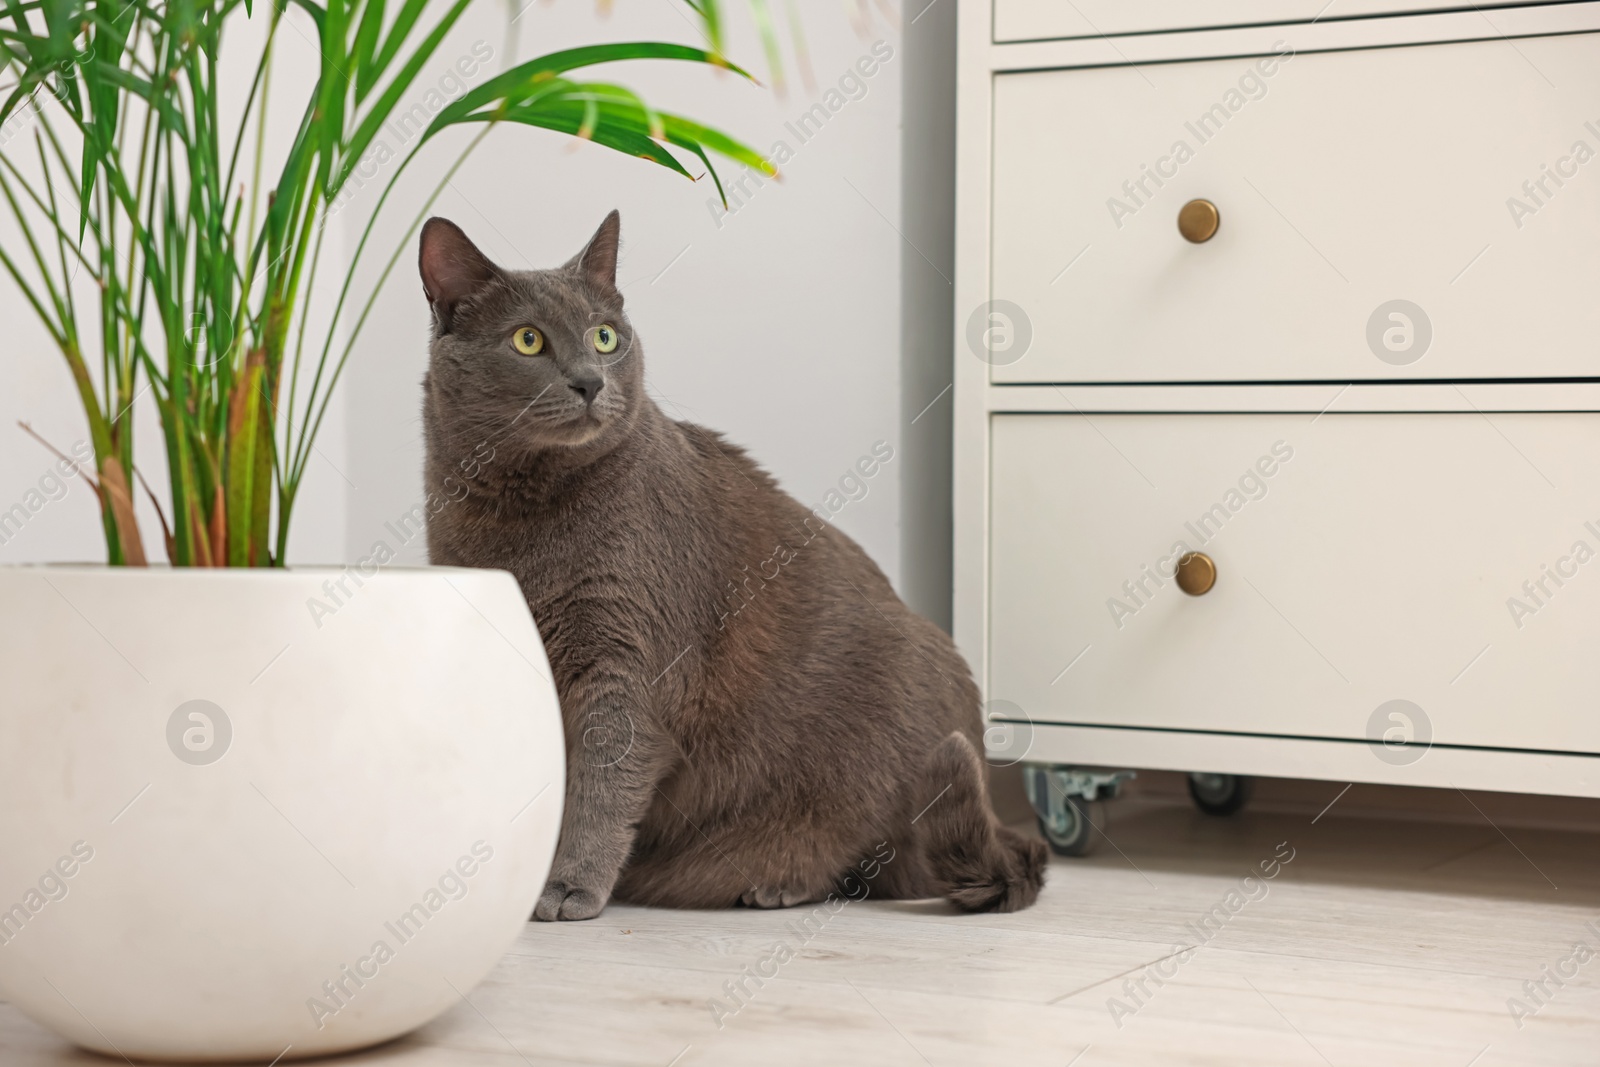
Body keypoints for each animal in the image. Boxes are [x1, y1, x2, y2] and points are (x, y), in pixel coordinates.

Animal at [416, 211, 1049, 921]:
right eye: (528, 341)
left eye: (605, 336)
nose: (590, 381)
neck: (519, 515)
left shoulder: (625, 664)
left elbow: (601, 787)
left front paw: (566, 887)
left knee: (874, 853)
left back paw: (778, 885)